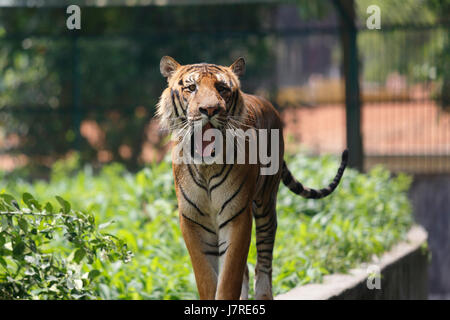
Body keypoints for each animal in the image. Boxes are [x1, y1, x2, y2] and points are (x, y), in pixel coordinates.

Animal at [156, 55, 350, 300]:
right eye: (191, 88)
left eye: (221, 88)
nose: (209, 109)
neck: (206, 166)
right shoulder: (192, 220)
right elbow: (207, 279)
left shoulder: (237, 215)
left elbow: (229, 278)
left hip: (266, 203)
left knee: (263, 261)